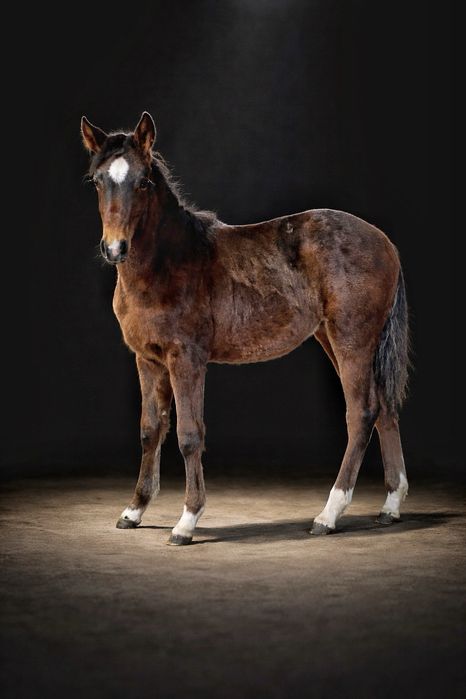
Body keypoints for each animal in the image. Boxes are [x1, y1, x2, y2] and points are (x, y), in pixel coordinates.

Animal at [81, 111, 410, 545]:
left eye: (143, 182)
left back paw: (328, 514)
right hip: (334, 338)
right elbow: (151, 429)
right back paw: (390, 505)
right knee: (385, 407)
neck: (170, 263)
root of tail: (386, 242)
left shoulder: (187, 358)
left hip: (352, 339)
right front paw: (133, 511)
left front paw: (187, 521)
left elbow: (189, 434)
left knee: (362, 412)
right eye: (97, 181)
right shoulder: (147, 359)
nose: (114, 248)